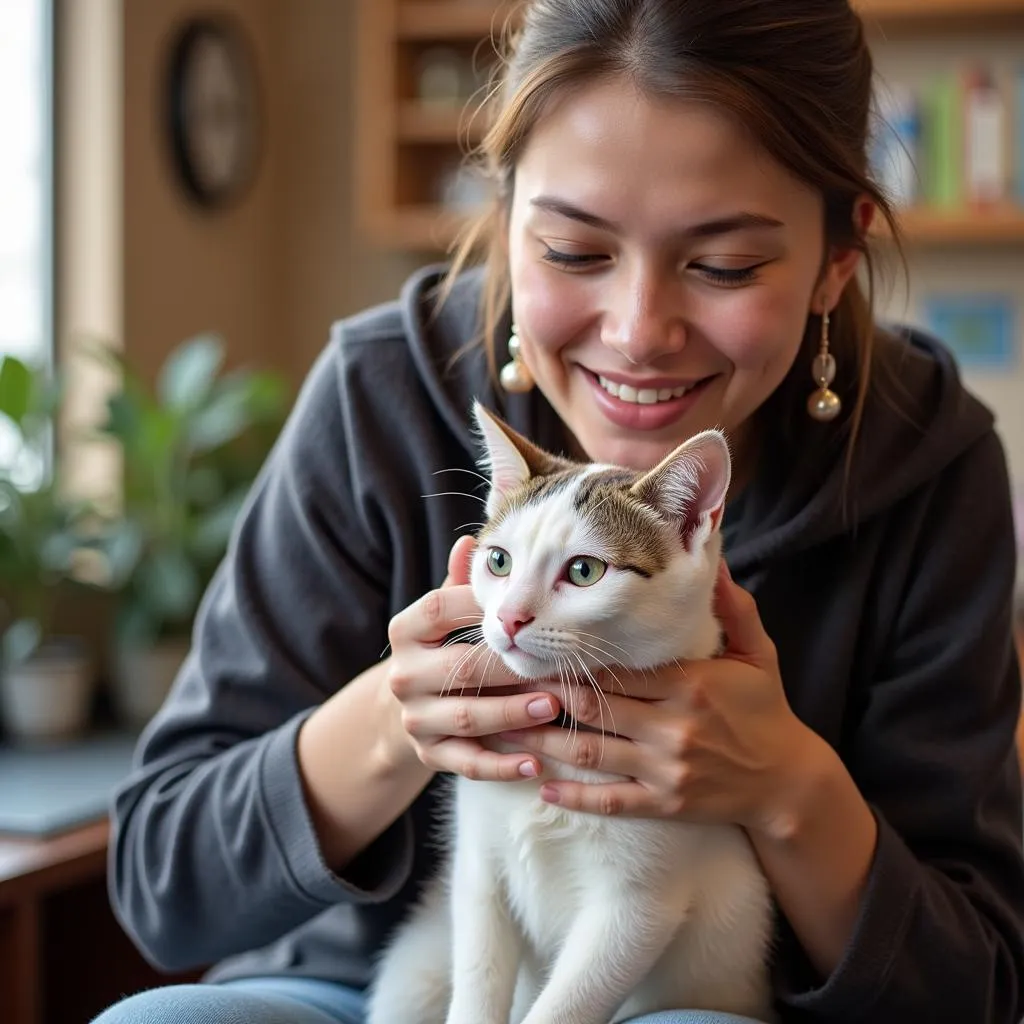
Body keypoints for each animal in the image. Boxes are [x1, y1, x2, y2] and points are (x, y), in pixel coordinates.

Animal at [364, 401, 770, 1024]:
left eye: (584, 572)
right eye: (498, 561)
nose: (509, 617)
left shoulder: (637, 906)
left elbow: (569, 1003)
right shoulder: (478, 867)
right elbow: (479, 968)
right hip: (416, 970)